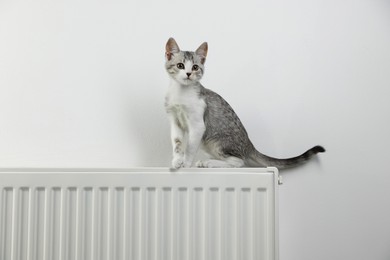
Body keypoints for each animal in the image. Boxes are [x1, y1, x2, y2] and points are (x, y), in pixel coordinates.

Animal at [163, 37, 324, 170]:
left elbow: (190, 147)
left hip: (217, 141)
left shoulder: (197, 124)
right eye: (180, 65)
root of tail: (249, 144)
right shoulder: (175, 120)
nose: (189, 74)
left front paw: (186, 164)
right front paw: (177, 161)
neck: (181, 93)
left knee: (239, 162)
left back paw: (210, 163)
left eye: (195, 67)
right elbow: (177, 143)